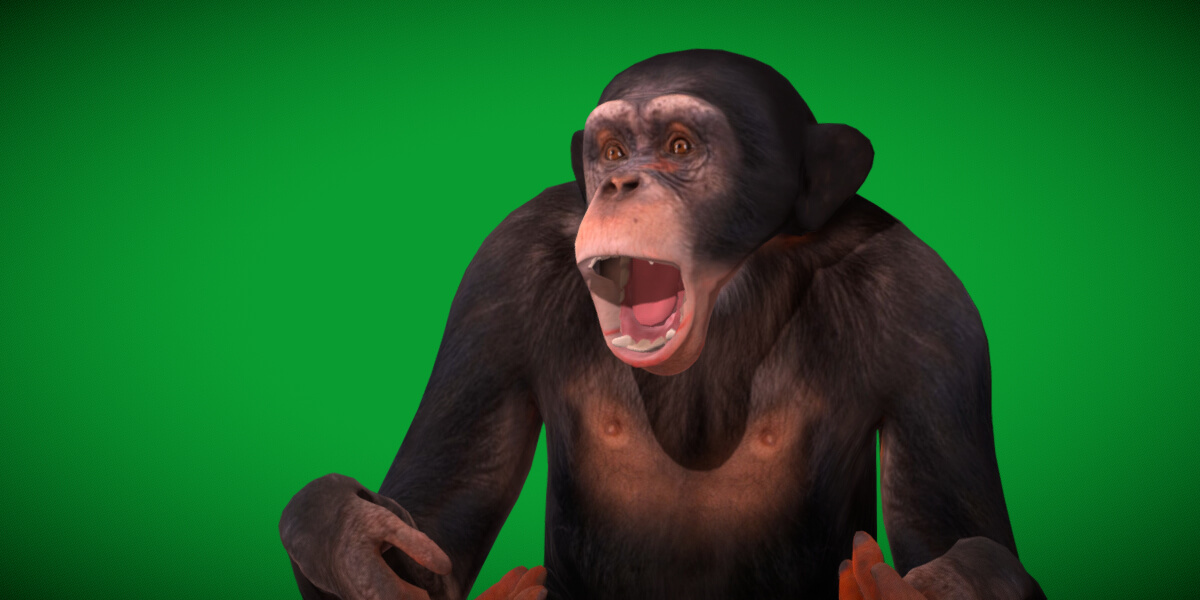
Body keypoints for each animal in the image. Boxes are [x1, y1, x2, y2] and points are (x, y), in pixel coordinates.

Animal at [280, 49, 1044, 600]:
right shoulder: (499, 277)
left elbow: (944, 529)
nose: (622, 184)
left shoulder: (928, 311)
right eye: (613, 151)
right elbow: (436, 532)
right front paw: (347, 539)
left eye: (679, 147)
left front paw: (946, 584)